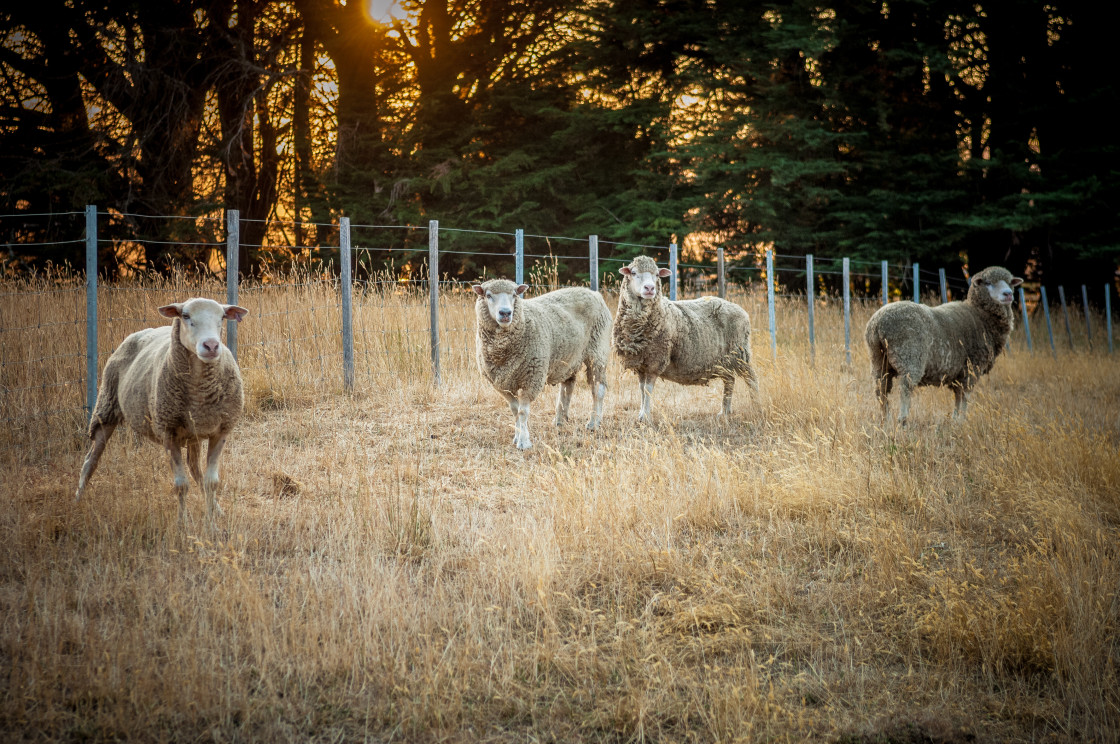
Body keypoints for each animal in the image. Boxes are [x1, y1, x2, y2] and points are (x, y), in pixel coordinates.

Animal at [75, 293, 248, 519]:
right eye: (185, 316)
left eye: (222, 317)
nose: (211, 346)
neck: (199, 391)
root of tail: (145, 330)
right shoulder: (168, 432)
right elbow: (181, 485)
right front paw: (183, 521)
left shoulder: (220, 431)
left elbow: (211, 482)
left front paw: (212, 519)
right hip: (106, 408)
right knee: (90, 461)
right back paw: (78, 500)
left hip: (192, 431)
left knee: (195, 468)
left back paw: (216, 508)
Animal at [472, 279, 613, 450]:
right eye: (488, 295)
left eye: (514, 295)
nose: (505, 313)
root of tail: (594, 293)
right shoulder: (501, 384)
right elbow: (515, 410)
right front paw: (517, 436)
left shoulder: (532, 378)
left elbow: (523, 412)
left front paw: (524, 442)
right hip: (568, 358)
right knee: (567, 388)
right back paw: (560, 420)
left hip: (597, 351)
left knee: (598, 389)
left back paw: (594, 422)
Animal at [613, 254, 761, 419]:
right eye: (633, 273)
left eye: (657, 275)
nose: (650, 288)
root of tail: (739, 309)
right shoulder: (641, 363)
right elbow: (641, 389)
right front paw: (641, 413)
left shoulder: (656, 359)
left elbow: (647, 389)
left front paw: (645, 416)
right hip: (724, 360)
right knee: (729, 380)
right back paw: (724, 412)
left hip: (740, 352)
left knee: (751, 378)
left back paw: (756, 407)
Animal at [864, 265, 1025, 423]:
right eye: (988, 283)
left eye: (1010, 282)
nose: (1008, 294)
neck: (980, 315)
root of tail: (878, 323)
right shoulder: (971, 367)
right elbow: (964, 396)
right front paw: (961, 421)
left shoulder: (959, 372)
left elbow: (958, 396)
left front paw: (954, 419)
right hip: (909, 357)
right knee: (905, 388)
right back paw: (902, 420)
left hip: (878, 359)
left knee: (881, 389)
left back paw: (886, 420)